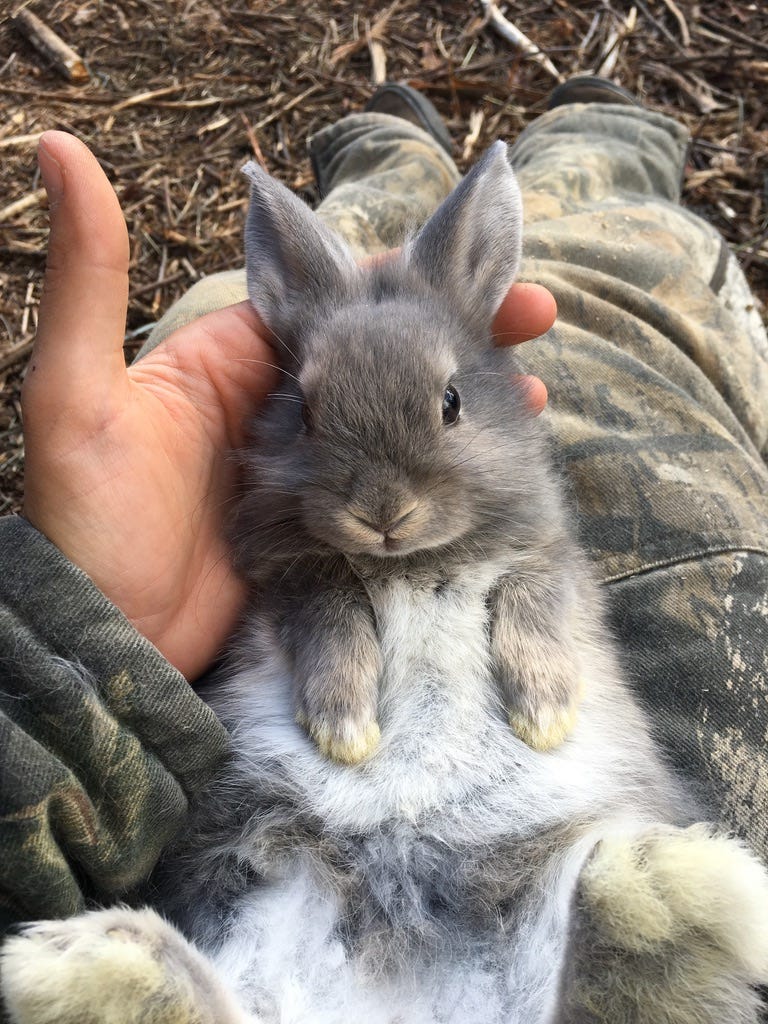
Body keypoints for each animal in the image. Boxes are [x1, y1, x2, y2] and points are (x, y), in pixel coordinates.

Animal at [3, 141, 768, 1024]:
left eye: (452, 401)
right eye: (304, 410)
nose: (382, 511)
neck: (409, 564)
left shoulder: (544, 561)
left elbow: (532, 606)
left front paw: (544, 713)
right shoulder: (296, 583)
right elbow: (333, 621)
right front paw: (345, 730)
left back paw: (662, 887)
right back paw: (75, 961)